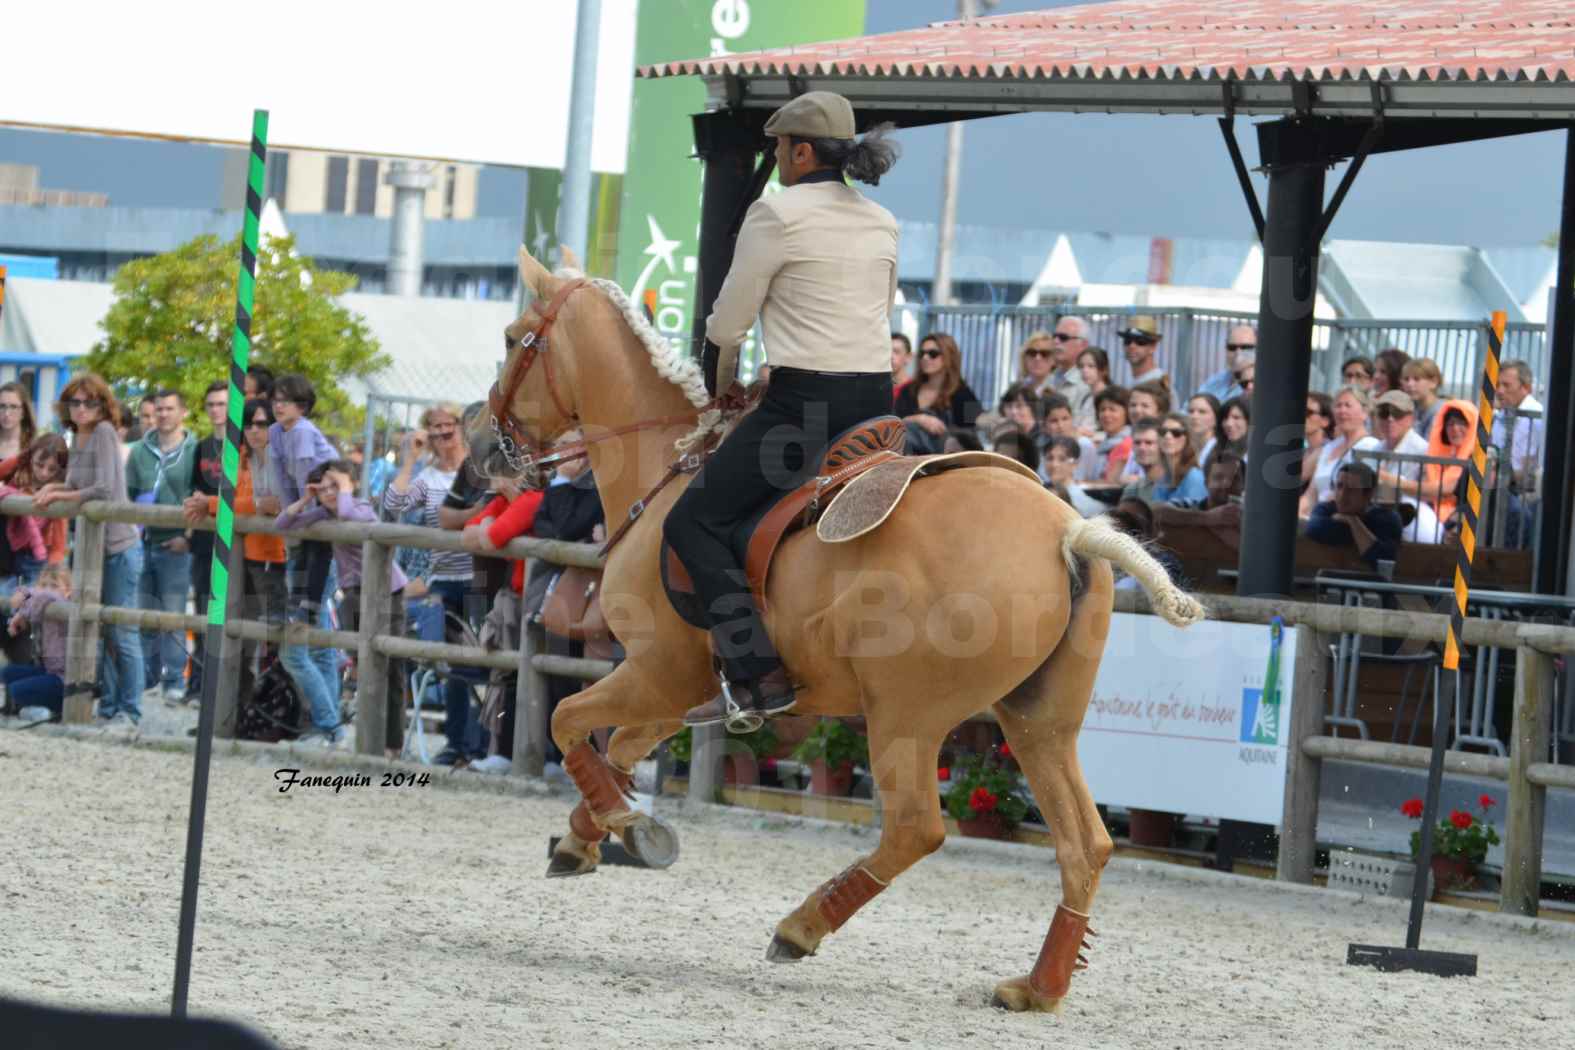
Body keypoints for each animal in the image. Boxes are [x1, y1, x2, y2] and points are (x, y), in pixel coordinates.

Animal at [466, 247, 1203, 1020]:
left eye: (514, 338)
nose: (481, 442)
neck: (666, 465)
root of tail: (1067, 531)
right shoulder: (676, 689)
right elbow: (616, 748)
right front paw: (587, 837)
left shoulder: (659, 673)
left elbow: (568, 721)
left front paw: (626, 826)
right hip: (1038, 721)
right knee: (1084, 844)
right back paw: (1037, 986)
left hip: (906, 716)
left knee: (916, 828)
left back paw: (801, 926)